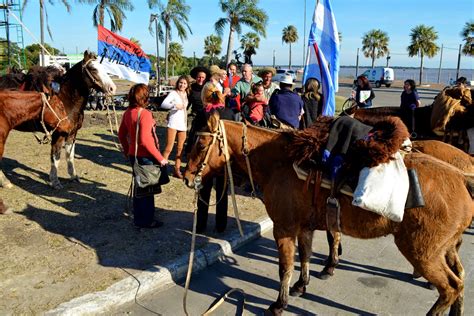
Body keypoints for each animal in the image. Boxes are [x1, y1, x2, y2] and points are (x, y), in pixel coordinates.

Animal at [0, 51, 116, 189]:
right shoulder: (58, 134)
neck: (64, 100)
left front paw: (73, 176)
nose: (112, 88)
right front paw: (55, 181)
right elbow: (56, 157)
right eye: (93, 69)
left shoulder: (72, 133)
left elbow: (69, 155)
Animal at [183, 113, 472, 316]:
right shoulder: (305, 227)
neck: (279, 163)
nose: (185, 176)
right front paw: (302, 285)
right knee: (460, 280)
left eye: (201, 143)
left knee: (449, 288)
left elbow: (285, 267)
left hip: (422, 252)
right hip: (445, 248)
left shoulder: (284, 228)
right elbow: (305, 256)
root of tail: (461, 178)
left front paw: (279, 304)